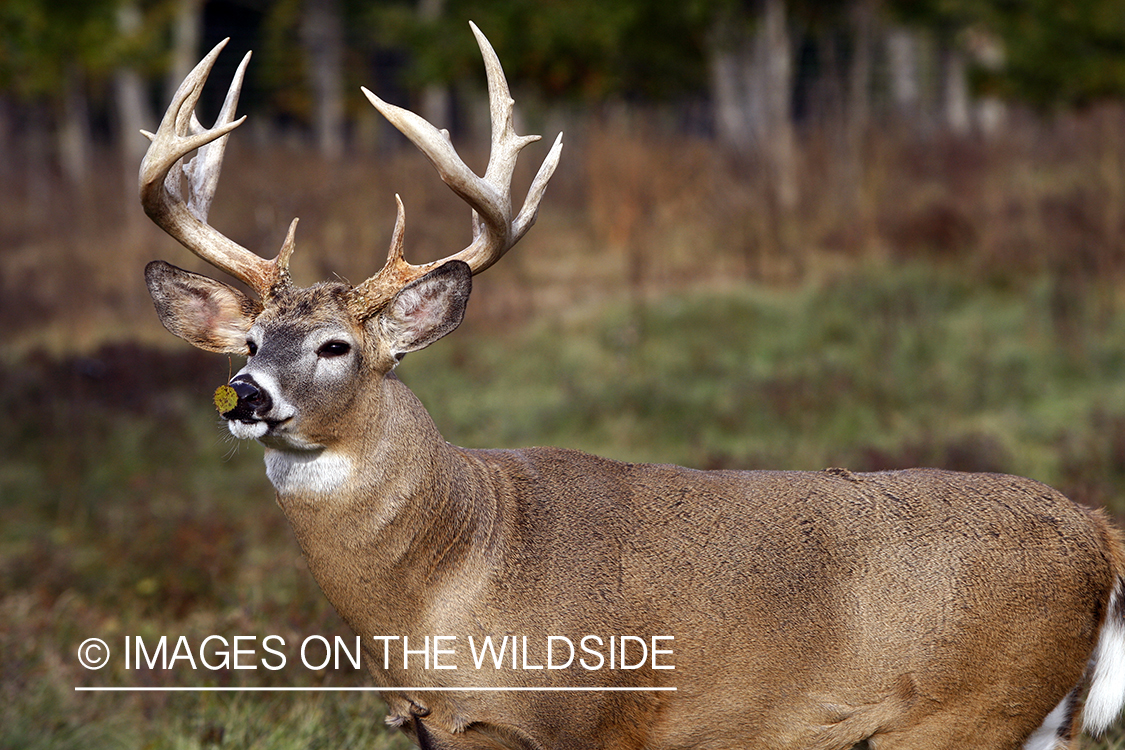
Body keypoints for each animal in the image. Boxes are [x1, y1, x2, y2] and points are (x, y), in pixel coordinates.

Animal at [142, 23, 1125, 750]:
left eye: (337, 346)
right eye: (250, 340)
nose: (246, 395)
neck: (448, 576)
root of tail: (1097, 533)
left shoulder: (588, 716)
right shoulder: (437, 732)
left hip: (963, 713)